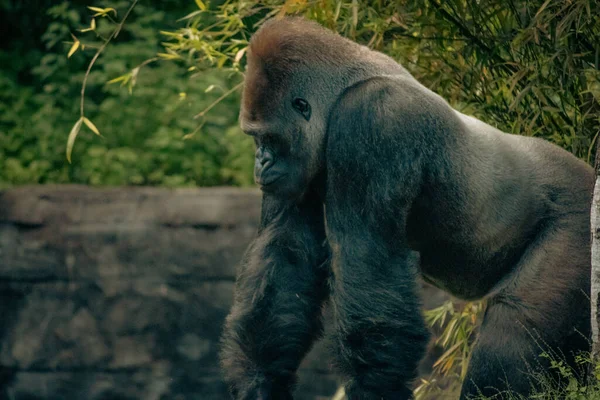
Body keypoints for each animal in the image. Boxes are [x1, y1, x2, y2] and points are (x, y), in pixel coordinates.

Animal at [218, 18, 592, 400]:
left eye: (268, 138)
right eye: (255, 138)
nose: (260, 162)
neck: (344, 89)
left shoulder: (376, 118)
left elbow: (370, 261)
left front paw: (374, 387)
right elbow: (287, 257)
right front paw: (261, 384)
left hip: (579, 218)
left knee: (513, 337)